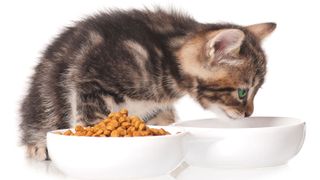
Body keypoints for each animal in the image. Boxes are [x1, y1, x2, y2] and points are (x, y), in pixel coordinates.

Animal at [20, 8, 276, 160]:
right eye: (242, 92)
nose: (248, 114)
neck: (168, 58)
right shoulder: (90, 80)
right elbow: (92, 122)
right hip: (47, 99)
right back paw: (38, 145)